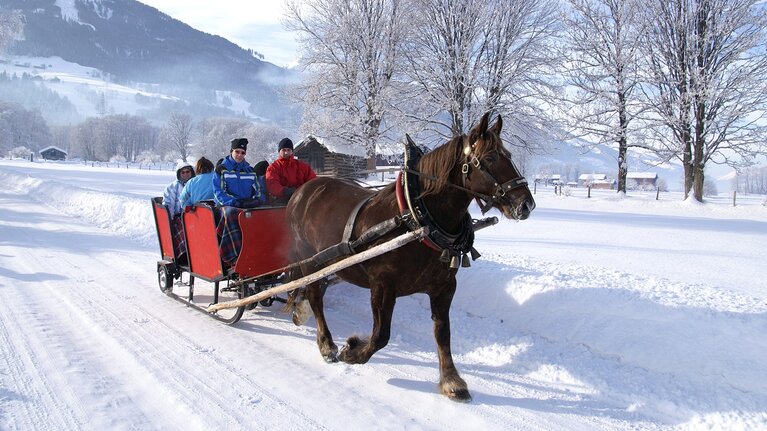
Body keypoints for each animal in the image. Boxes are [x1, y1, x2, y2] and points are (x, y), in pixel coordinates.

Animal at [285, 112, 535, 402]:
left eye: (509, 154)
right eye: (491, 158)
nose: (526, 204)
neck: (417, 218)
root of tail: (303, 191)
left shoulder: (444, 286)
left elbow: (443, 333)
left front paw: (451, 380)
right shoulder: (382, 286)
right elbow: (381, 336)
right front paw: (352, 350)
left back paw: (302, 312)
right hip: (309, 261)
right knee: (315, 296)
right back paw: (326, 344)